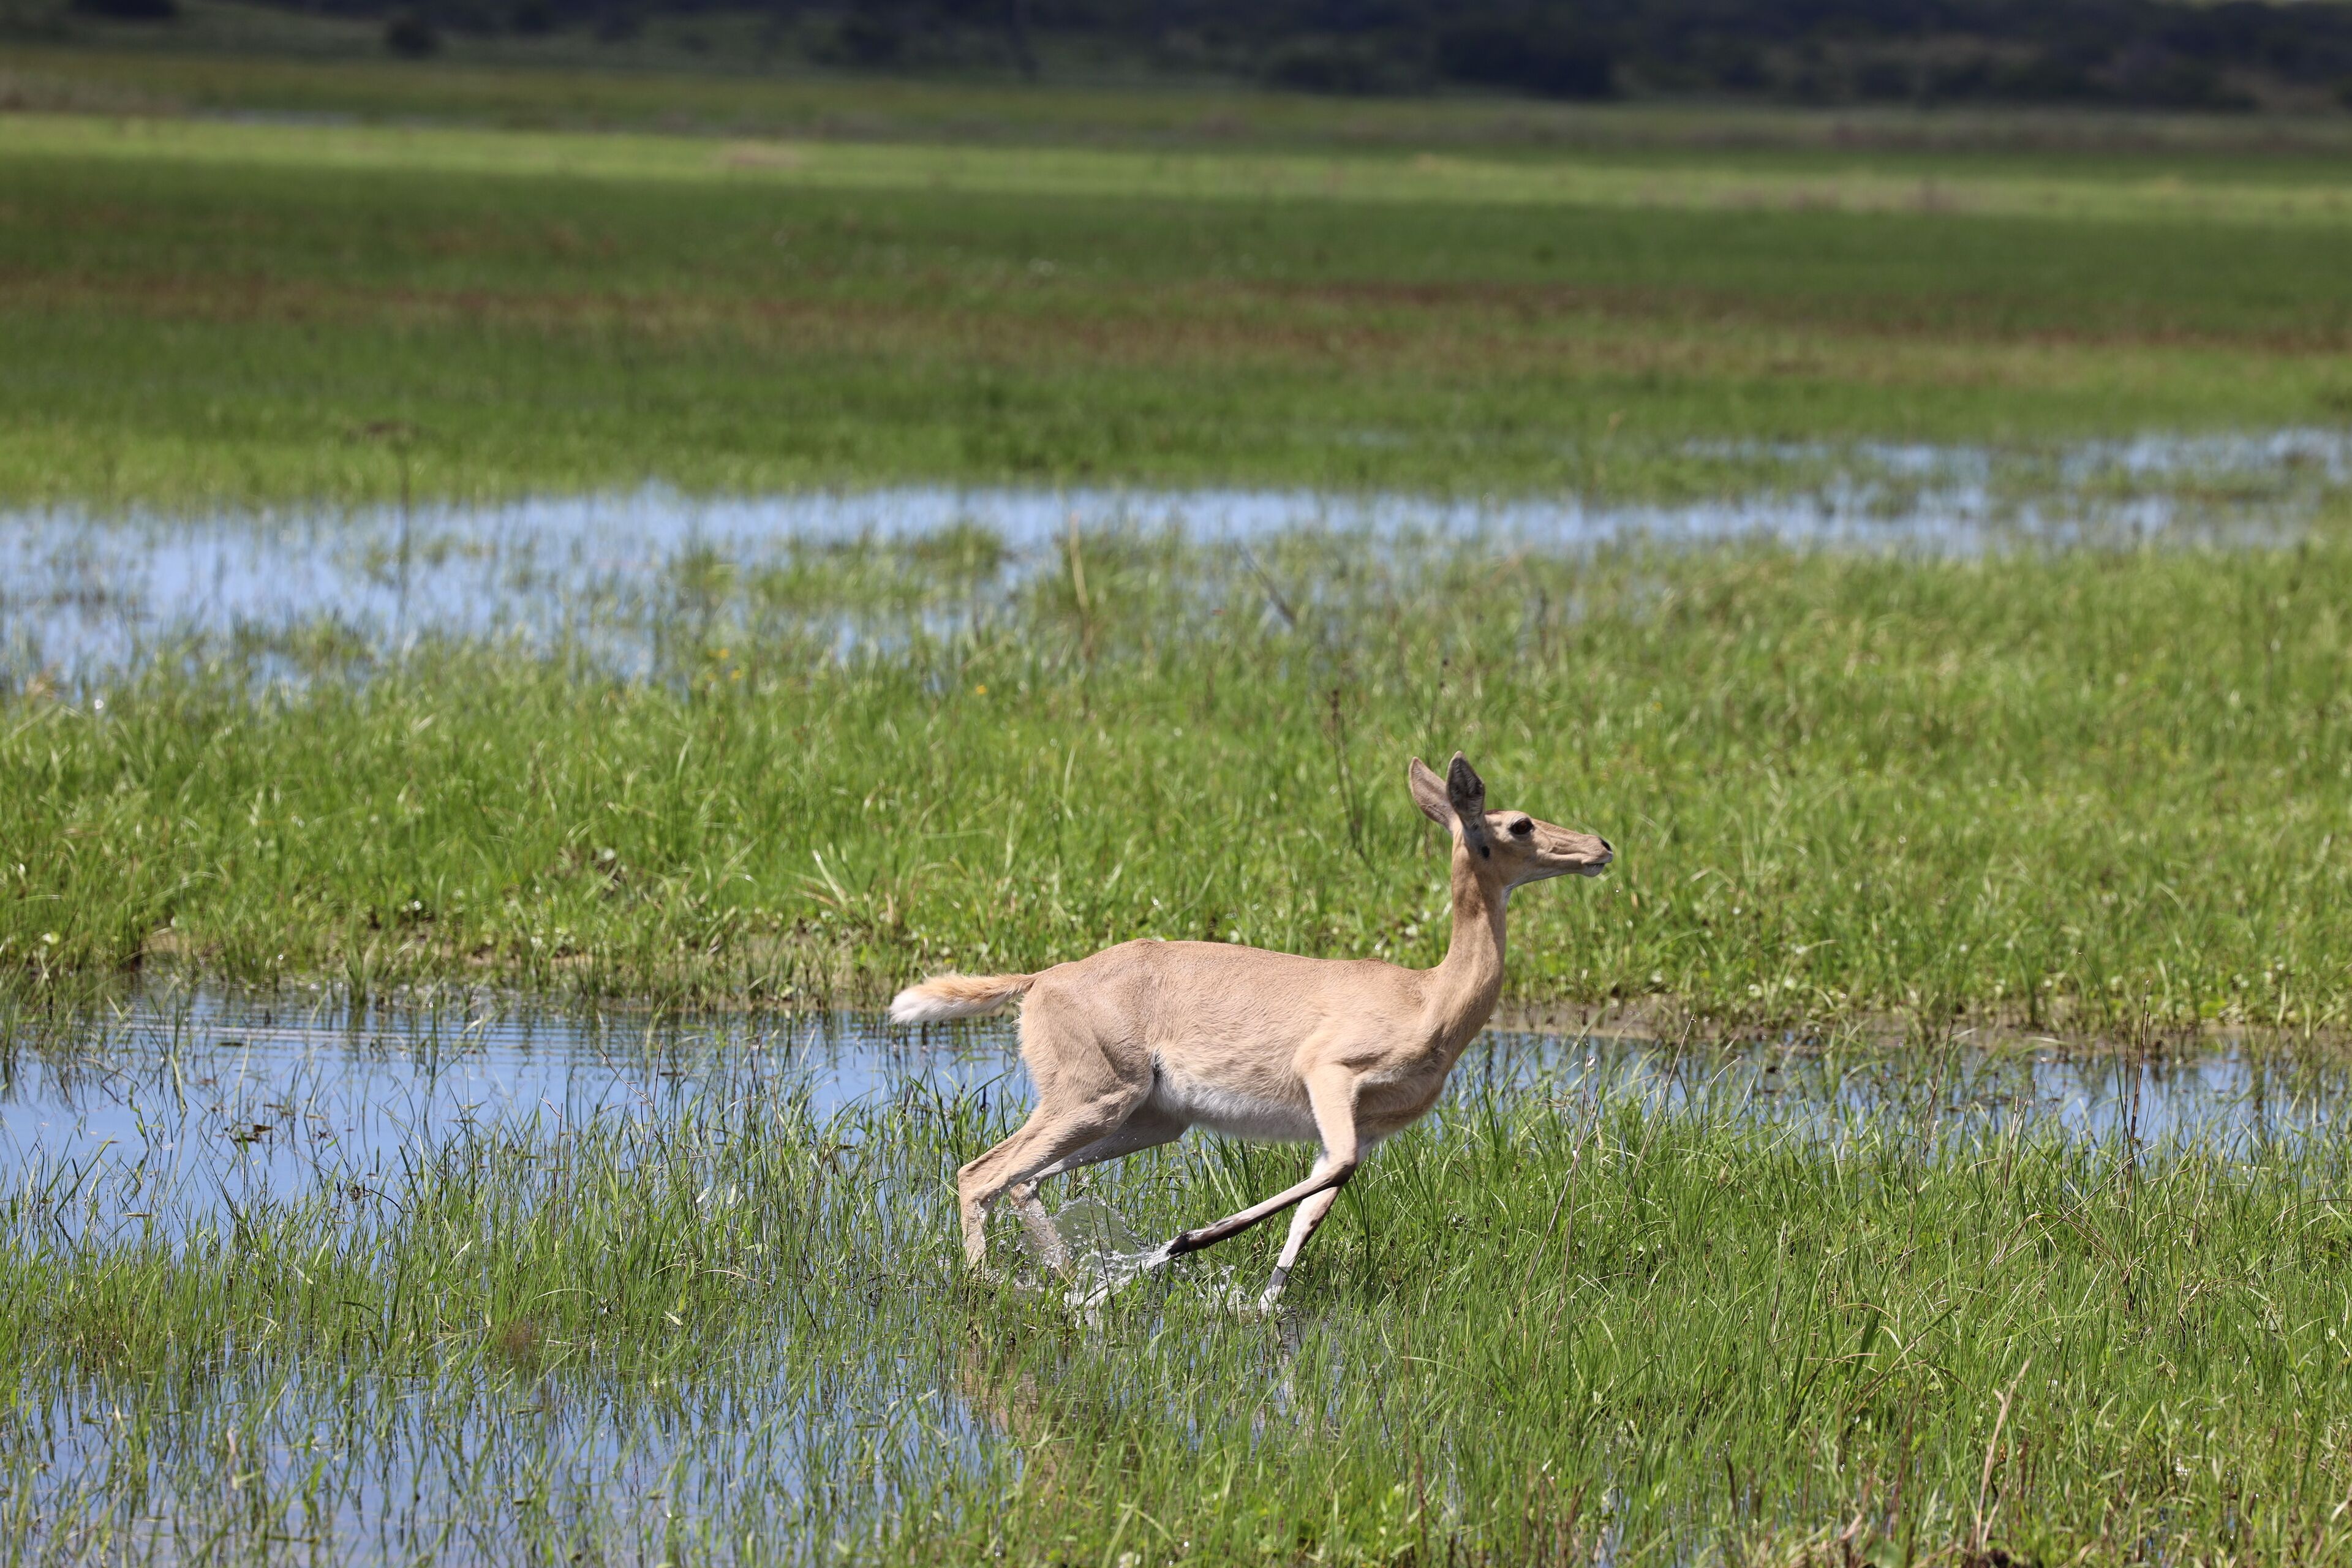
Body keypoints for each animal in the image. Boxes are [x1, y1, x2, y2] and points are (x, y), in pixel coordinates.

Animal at [888, 753, 1612, 1310]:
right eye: (1519, 822)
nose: (1602, 847)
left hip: (1149, 1120)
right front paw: (1186, 1243)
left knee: (1021, 1180)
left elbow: (1314, 1208)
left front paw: (1264, 1302)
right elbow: (1333, 1175)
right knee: (981, 1173)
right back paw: (998, 1286)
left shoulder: (1365, 1128)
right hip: (1093, 1101)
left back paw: (1074, 1283)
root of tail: (1042, 979)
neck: (1428, 997)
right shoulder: (1330, 1077)